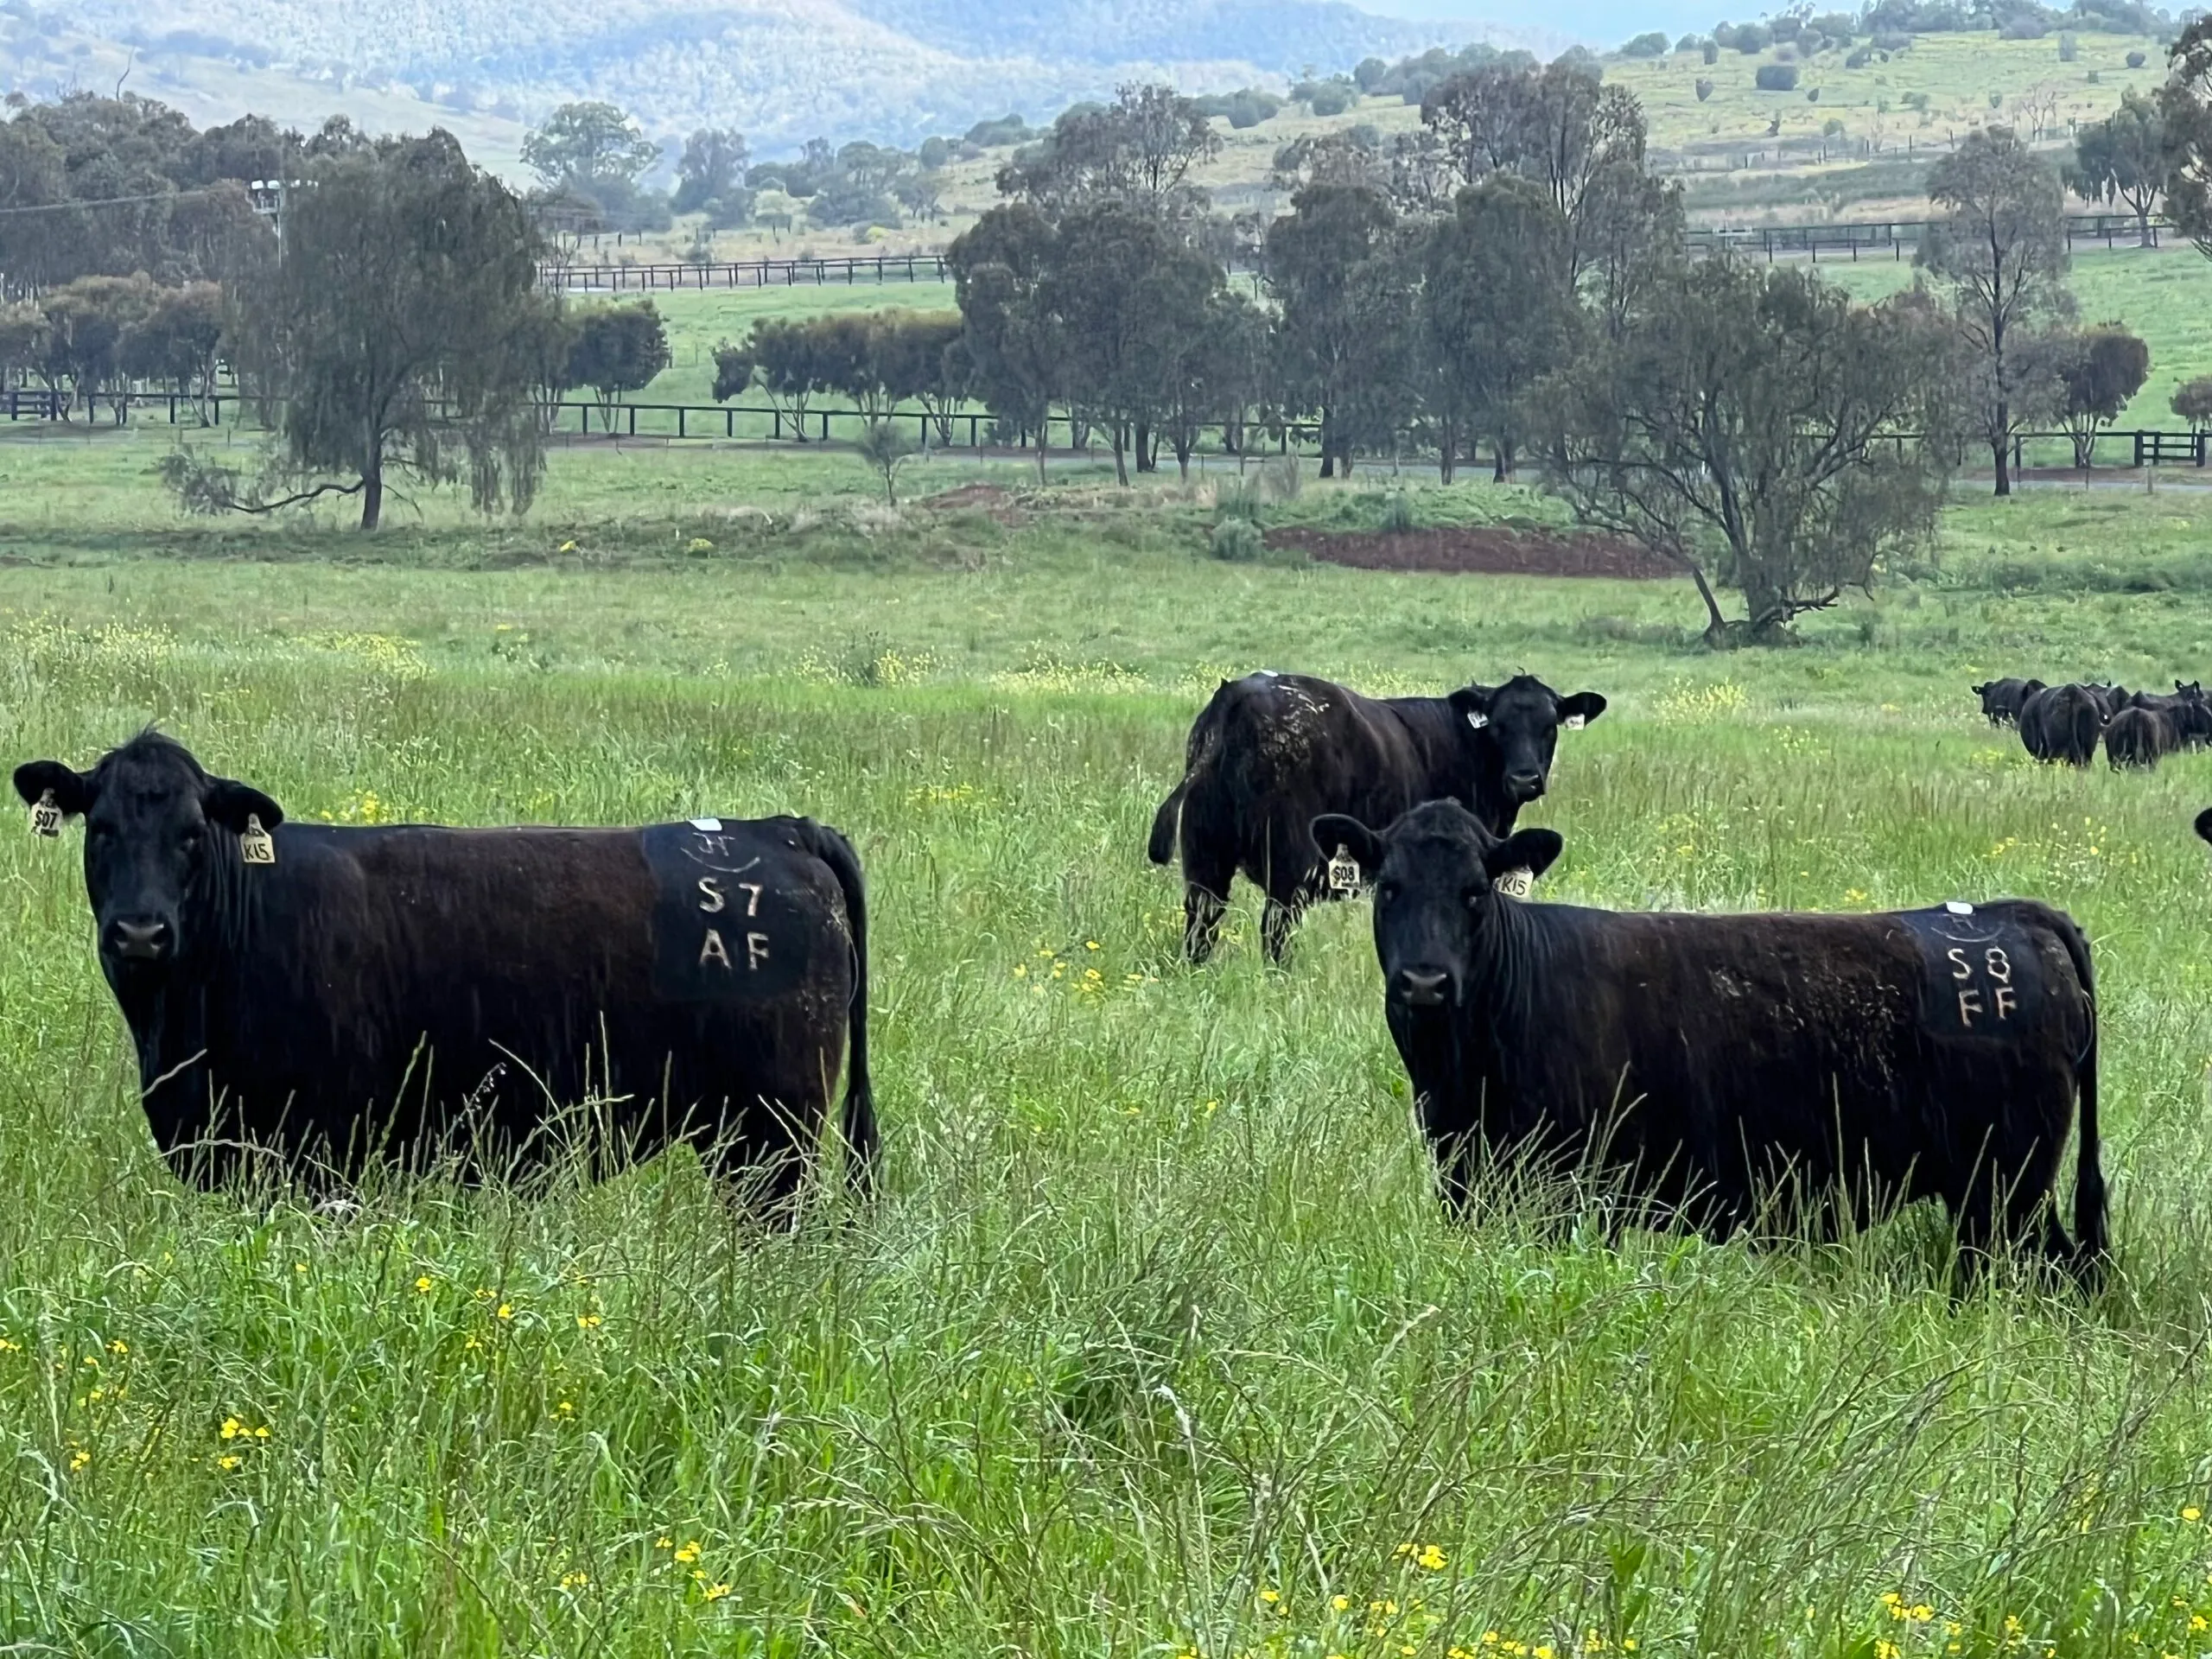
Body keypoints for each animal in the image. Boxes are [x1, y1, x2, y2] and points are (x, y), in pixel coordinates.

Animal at [14, 732, 875, 1206]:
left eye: (193, 833)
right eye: (102, 829)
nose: (140, 931)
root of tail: (777, 830)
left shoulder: (323, 1152)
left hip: (775, 1132)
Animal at [1147, 671, 1607, 962]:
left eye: (1550, 726)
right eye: (1499, 725)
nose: (1524, 779)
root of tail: (1240, 692)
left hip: (1205, 863)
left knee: (1201, 928)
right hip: (1288, 868)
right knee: (1274, 933)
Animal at [1311, 798, 2105, 1285]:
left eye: (1476, 892)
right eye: (1388, 888)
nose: (1425, 981)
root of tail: (2015, 916)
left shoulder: (1575, 1196)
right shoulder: (1464, 1180)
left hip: (2004, 1188)